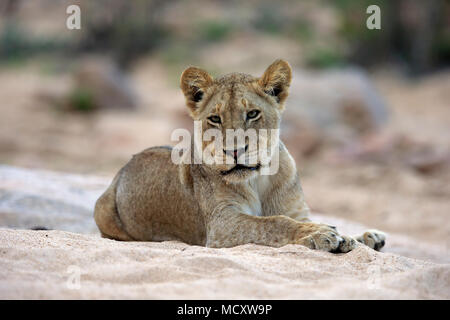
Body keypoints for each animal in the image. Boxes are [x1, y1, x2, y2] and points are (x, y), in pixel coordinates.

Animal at [93, 58, 384, 251]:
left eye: (252, 114)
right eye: (215, 118)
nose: (234, 150)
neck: (258, 179)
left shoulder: (297, 211)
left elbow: (306, 220)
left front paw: (358, 236)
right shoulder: (222, 225)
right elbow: (273, 223)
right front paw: (320, 234)